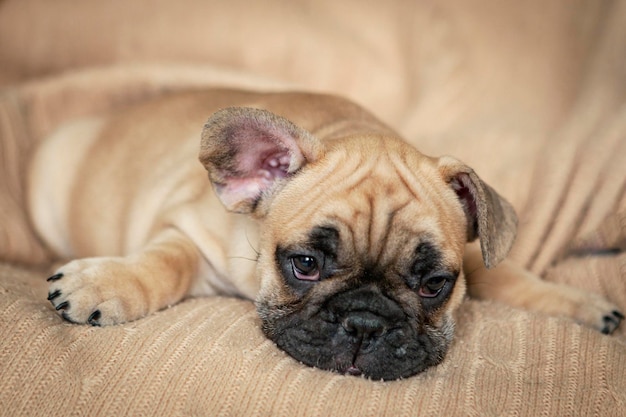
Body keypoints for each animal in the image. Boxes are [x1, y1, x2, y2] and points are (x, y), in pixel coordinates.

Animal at [31, 88, 620, 380]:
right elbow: (165, 262)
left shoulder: (473, 260)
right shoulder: (188, 232)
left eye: (434, 285)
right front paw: (104, 283)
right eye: (306, 265)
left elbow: (512, 277)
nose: (365, 323)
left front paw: (582, 306)